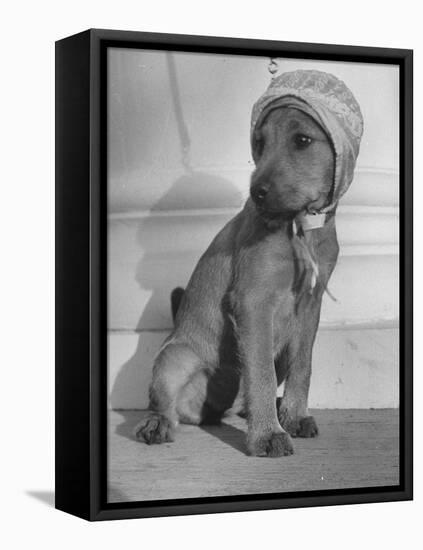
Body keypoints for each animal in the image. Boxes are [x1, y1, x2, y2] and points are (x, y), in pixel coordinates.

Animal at [134, 71, 362, 460]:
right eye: (259, 142)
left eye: (302, 140)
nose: (257, 193)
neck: (301, 226)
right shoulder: (254, 303)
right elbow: (260, 374)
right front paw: (268, 435)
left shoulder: (309, 309)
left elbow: (303, 366)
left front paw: (293, 416)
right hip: (174, 358)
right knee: (165, 403)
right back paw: (157, 424)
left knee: (240, 401)